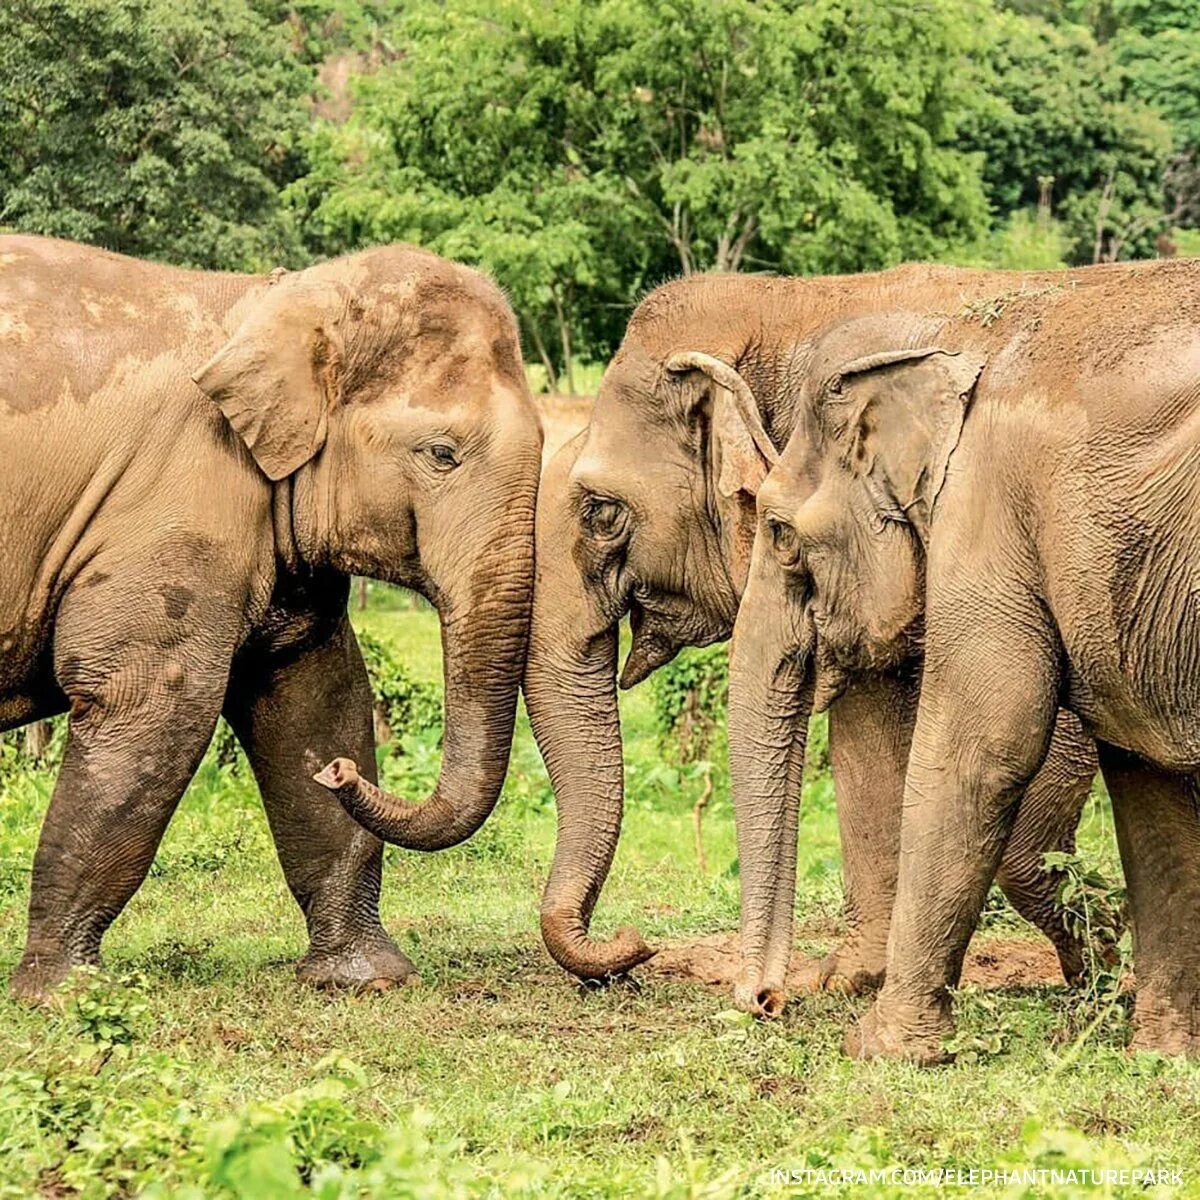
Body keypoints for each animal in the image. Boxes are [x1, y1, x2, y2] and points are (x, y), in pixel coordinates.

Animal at [0, 234, 542, 1003]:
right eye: (442, 453)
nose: (342, 776)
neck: (274, 300)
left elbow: (315, 697)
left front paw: (368, 980)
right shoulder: (179, 502)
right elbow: (151, 699)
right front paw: (62, 995)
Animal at [528, 262, 1190, 993]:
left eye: (600, 512)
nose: (635, 945)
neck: (790, 304)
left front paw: (1102, 961)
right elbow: (867, 729)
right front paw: (849, 982)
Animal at [729, 262, 1200, 1060]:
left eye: (780, 534)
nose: (764, 1000)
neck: (955, 331)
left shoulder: (989, 508)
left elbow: (977, 749)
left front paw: (879, 1049)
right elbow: (1151, 784)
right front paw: (1163, 1058)